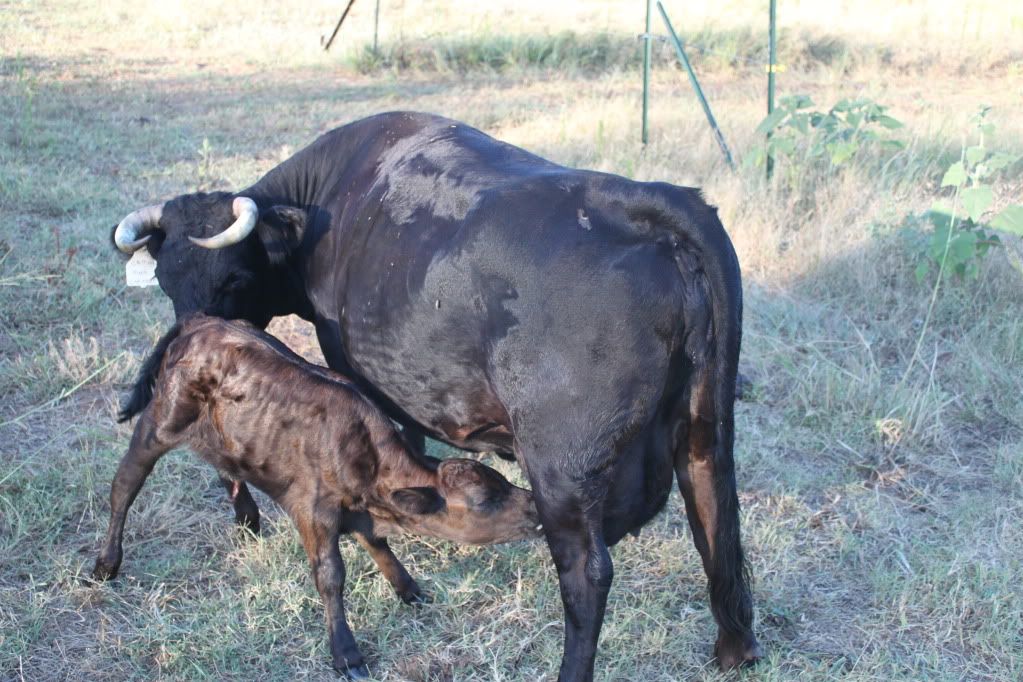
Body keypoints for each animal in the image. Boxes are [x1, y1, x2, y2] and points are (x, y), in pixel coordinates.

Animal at [92, 314, 541, 678]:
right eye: (485, 500)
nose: (535, 506)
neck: (369, 463)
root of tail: (201, 322)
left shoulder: (359, 509)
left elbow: (377, 544)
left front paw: (408, 588)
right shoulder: (312, 509)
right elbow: (330, 576)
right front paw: (346, 653)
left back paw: (247, 519)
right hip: (159, 422)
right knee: (124, 485)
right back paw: (106, 563)